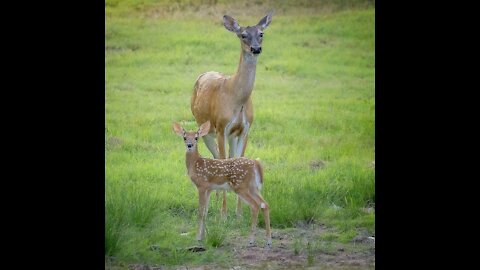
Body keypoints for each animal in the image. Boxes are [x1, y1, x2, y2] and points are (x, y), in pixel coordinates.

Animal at [191, 11, 274, 217]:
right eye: (243, 35)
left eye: (261, 33)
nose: (256, 48)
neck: (237, 99)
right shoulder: (222, 127)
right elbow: (224, 160)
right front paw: (224, 213)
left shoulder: (245, 129)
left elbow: (238, 160)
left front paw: (239, 212)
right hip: (205, 129)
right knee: (217, 158)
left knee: (223, 158)